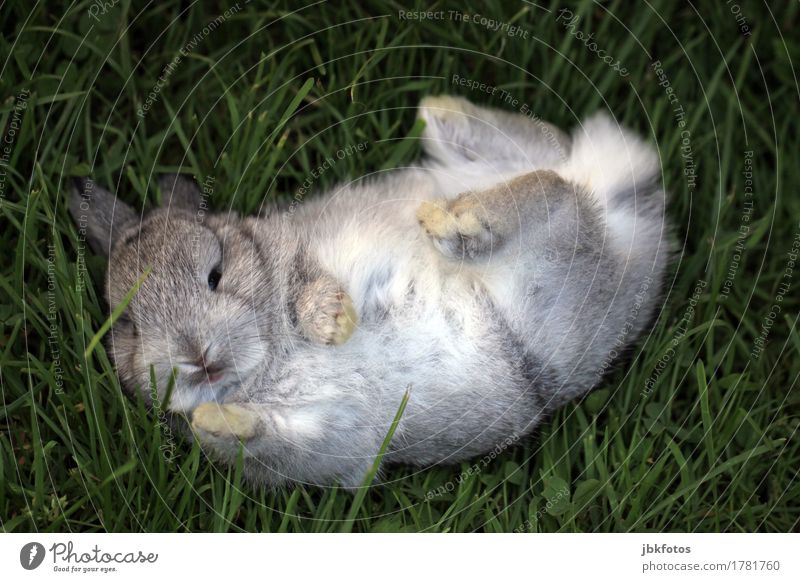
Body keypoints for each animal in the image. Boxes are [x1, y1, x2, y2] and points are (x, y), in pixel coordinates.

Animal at [69, 98, 672, 490]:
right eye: (127, 327)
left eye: (215, 274)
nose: (196, 357)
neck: (265, 362)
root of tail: (622, 206)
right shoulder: (330, 435)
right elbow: (275, 439)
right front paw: (214, 423)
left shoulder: (299, 256)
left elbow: (309, 284)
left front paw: (333, 323)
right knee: (555, 174)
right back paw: (444, 123)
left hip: (552, 259)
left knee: (556, 186)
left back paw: (454, 209)